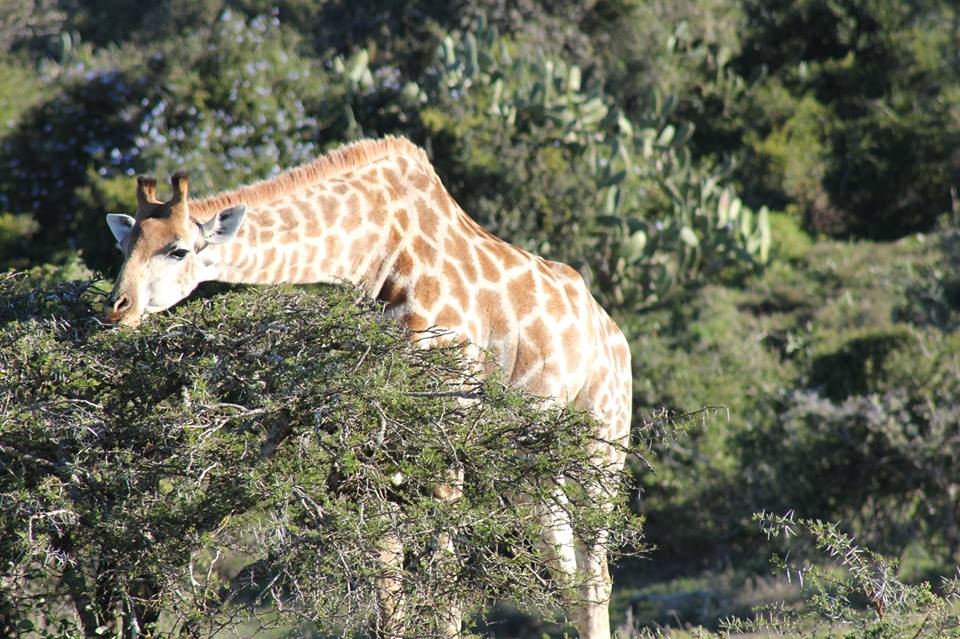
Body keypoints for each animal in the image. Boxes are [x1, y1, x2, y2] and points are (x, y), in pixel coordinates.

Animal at [105, 136, 632, 639]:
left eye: (177, 249)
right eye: (125, 247)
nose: (117, 308)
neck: (378, 257)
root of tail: (614, 335)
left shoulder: (450, 422)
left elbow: (443, 572)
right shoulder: (378, 432)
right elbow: (387, 569)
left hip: (602, 445)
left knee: (597, 574)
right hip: (534, 465)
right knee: (569, 574)